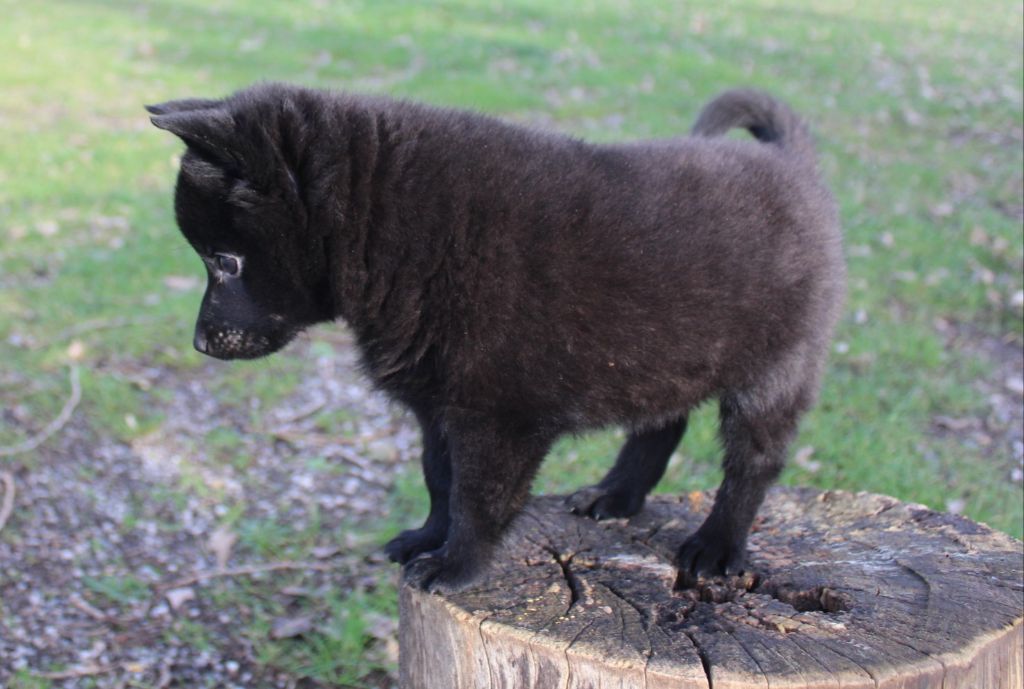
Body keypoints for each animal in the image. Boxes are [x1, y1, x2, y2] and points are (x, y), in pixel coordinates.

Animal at [148, 84, 843, 589]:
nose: (200, 345)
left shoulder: (499, 412)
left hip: (776, 367)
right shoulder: (437, 404)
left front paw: (455, 565)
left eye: (224, 260)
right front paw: (425, 538)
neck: (395, 232)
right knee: (661, 425)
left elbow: (478, 495)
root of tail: (789, 161)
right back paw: (615, 495)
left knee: (752, 465)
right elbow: (439, 477)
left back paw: (715, 547)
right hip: (670, 351)